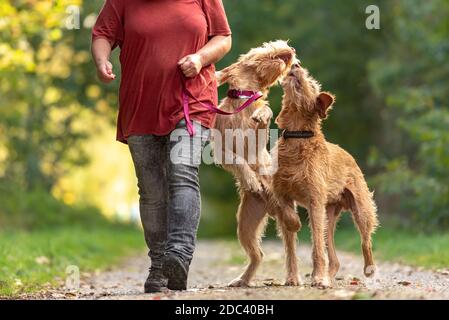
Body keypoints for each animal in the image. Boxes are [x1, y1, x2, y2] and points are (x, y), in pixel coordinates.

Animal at [214, 40, 300, 288]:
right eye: (261, 47)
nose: (291, 50)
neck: (244, 99)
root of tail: (271, 206)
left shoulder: (259, 139)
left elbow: (266, 113)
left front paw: (261, 114)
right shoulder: (219, 150)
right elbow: (238, 160)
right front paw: (252, 180)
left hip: (282, 214)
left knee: (291, 248)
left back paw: (293, 277)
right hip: (246, 225)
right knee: (258, 254)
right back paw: (242, 279)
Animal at [270, 62, 378, 288]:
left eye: (311, 83)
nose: (296, 64)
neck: (296, 137)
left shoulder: (315, 201)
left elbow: (317, 248)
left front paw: (318, 277)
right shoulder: (281, 193)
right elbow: (288, 226)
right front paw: (293, 277)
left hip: (360, 210)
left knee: (365, 242)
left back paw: (367, 270)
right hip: (329, 214)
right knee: (334, 257)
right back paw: (329, 274)